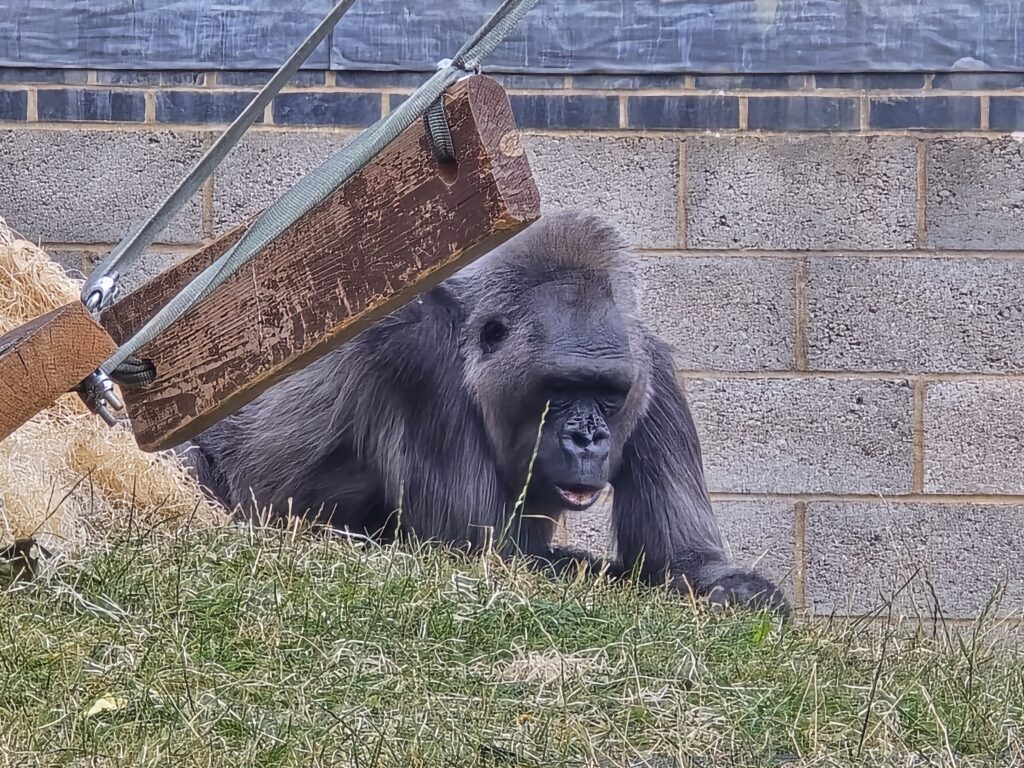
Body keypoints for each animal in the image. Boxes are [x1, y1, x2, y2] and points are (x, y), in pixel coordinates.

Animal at [186, 208, 782, 614]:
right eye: (559, 388)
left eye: (608, 394)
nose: (588, 438)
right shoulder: (416, 353)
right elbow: (482, 555)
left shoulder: (652, 370)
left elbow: (685, 561)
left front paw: (735, 590)